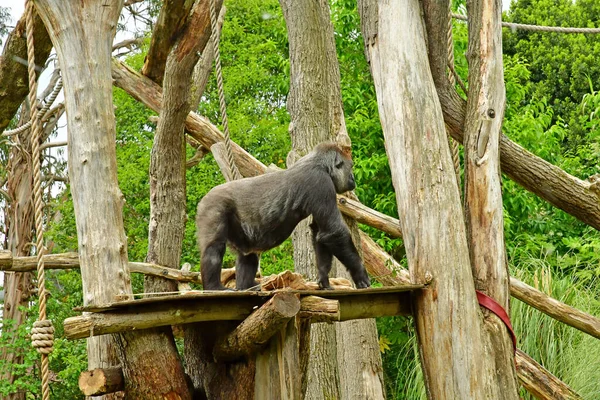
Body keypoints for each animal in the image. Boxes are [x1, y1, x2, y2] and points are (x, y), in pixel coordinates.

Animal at [197, 141, 370, 290]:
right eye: (350, 167)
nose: (353, 178)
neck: (321, 163)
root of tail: (204, 199)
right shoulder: (321, 182)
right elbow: (333, 232)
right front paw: (360, 274)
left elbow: (321, 233)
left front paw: (324, 278)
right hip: (213, 205)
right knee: (214, 248)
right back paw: (214, 287)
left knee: (248, 253)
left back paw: (246, 286)